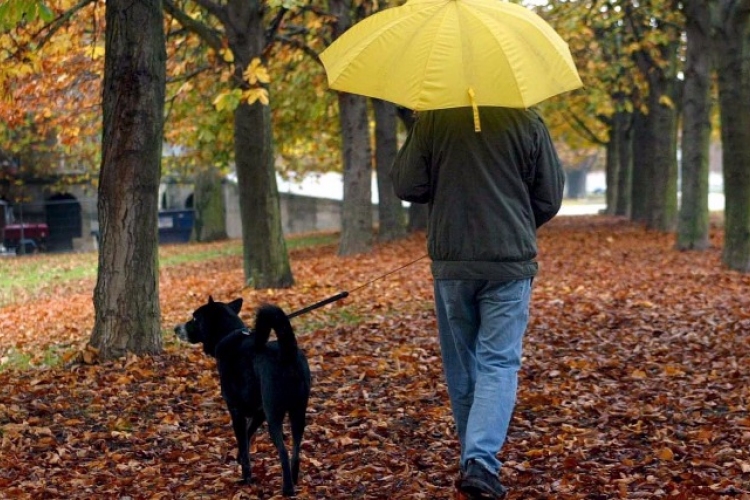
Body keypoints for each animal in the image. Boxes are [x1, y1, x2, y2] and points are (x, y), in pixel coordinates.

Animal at [176, 296, 312, 496]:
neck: (229, 334)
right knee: (296, 450)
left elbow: (243, 441)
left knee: (284, 452)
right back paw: (294, 480)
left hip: (274, 416)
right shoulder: (259, 412)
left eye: (194, 318)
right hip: (298, 413)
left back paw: (287, 488)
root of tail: (287, 353)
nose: (176, 329)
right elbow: (247, 436)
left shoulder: (236, 411)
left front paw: (246, 477)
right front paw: (239, 455)